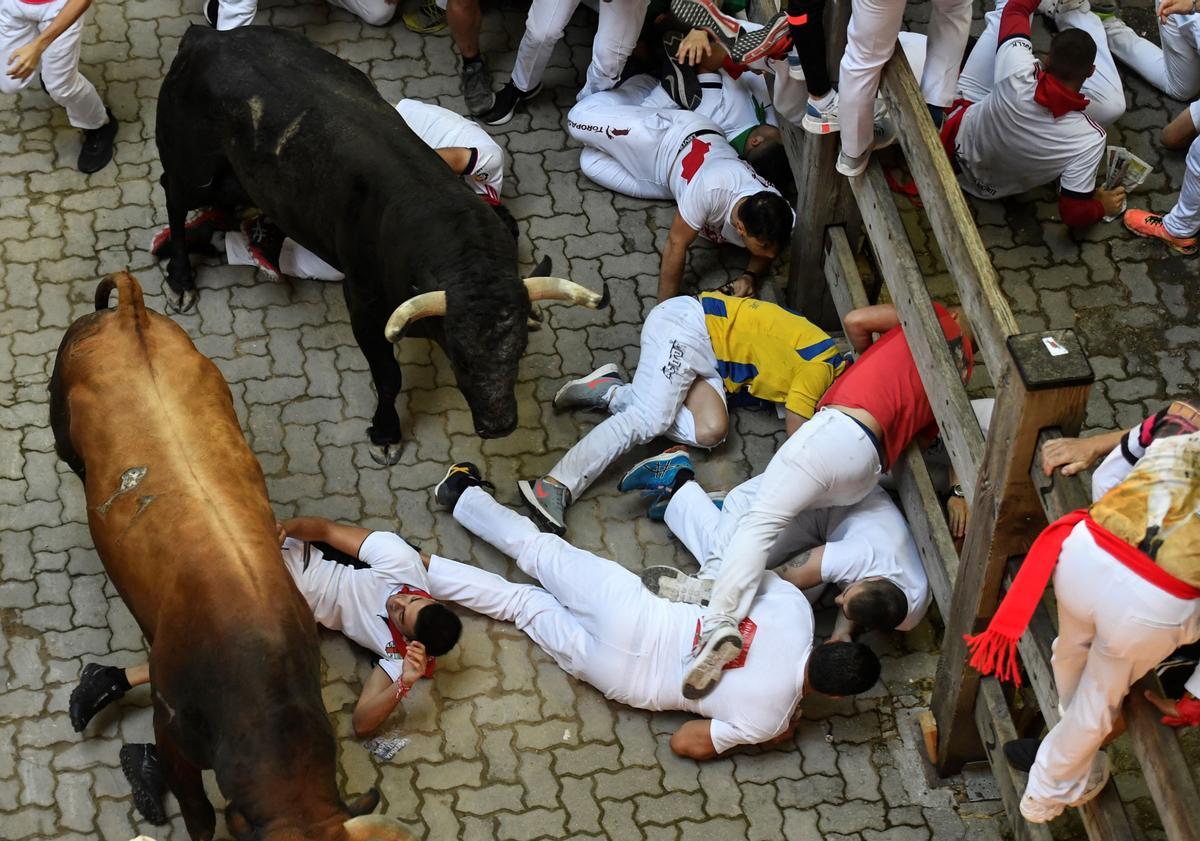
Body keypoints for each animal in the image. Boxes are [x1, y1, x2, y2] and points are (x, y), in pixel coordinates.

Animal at [157, 24, 609, 465]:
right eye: (459, 354)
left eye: (518, 350)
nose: (498, 425)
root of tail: (207, 36)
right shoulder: (363, 303)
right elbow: (388, 375)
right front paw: (387, 433)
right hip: (193, 167)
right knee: (173, 196)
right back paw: (180, 278)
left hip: (238, 179)